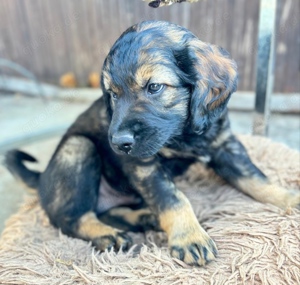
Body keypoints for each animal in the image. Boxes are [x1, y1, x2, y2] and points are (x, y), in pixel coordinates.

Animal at [5, 21, 300, 266]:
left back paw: (143, 217)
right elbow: (173, 198)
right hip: (77, 148)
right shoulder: (145, 165)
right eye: (112, 94)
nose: (118, 143)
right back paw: (108, 235)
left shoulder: (224, 145)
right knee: (72, 219)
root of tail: (42, 178)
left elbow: (256, 178)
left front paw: (288, 197)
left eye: (154, 87)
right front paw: (189, 236)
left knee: (108, 211)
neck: (184, 134)